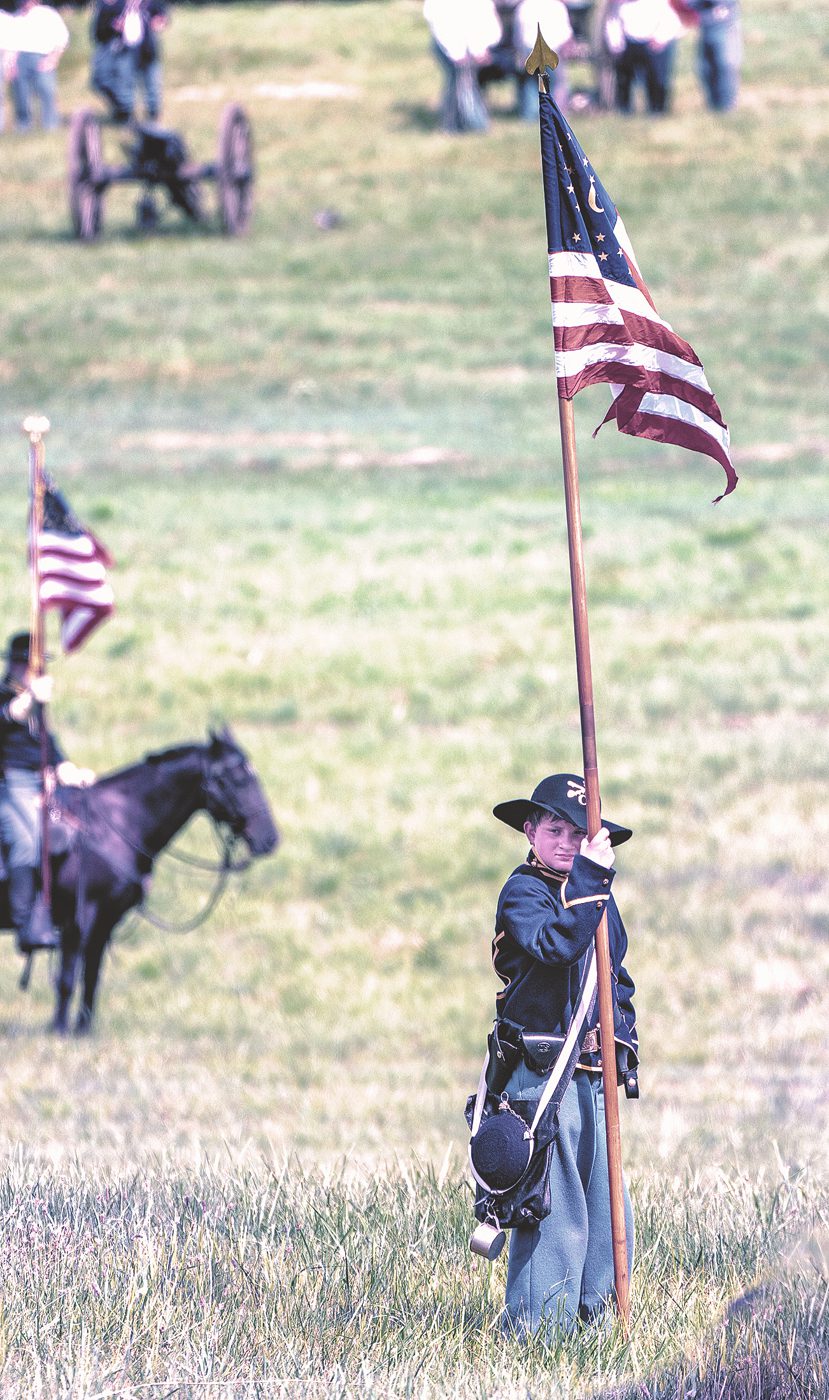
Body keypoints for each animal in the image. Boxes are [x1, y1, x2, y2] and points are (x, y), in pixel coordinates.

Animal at [0, 728, 278, 1036]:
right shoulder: (78, 919)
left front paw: (83, 1031)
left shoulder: (106, 920)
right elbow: (67, 979)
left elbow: (91, 976)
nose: (269, 839)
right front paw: (59, 1031)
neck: (110, 828)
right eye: (236, 779)